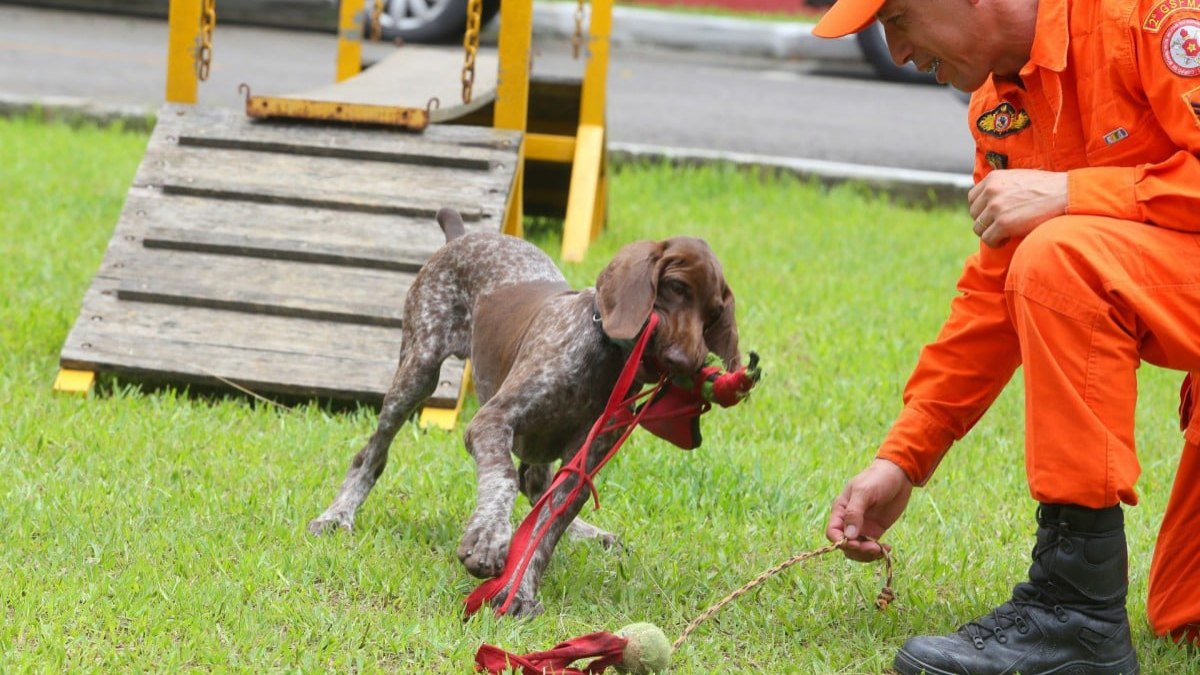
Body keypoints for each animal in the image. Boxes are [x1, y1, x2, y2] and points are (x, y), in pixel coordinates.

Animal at [307, 206, 739, 614]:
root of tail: (462, 236)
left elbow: (545, 528)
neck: (605, 359)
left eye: (714, 313)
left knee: (535, 486)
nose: (686, 363)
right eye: (677, 288)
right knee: (372, 453)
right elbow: (502, 480)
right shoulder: (491, 421)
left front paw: (520, 590)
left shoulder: (583, 463)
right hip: (418, 369)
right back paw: (337, 515)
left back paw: (588, 534)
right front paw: (488, 539)